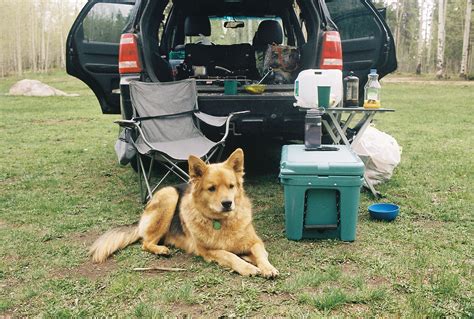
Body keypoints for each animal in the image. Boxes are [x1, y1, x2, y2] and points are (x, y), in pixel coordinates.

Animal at [89, 149, 278, 278]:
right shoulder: (208, 251)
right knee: (145, 242)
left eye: (231, 186)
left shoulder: (255, 242)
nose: (227, 204)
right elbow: (230, 255)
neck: (222, 221)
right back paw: (161, 250)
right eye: (212, 188)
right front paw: (248, 267)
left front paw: (267, 267)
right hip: (169, 196)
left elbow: (260, 254)